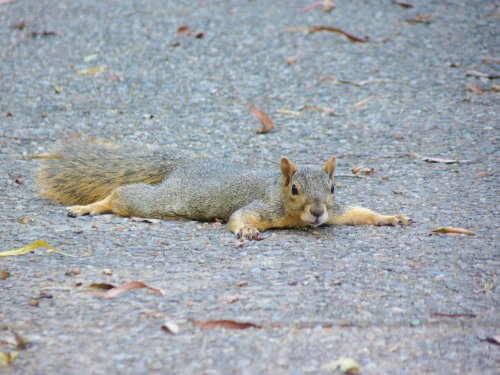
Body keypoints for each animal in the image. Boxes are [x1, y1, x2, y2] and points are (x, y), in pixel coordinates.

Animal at [36, 140, 410, 239]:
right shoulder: (264, 206)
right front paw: (244, 229)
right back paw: (89, 207)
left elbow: (358, 213)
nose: (318, 213)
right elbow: (240, 216)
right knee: (122, 196)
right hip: (164, 201)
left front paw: (390, 217)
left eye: (332, 187)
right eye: (294, 189)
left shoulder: (338, 212)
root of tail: (186, 162)